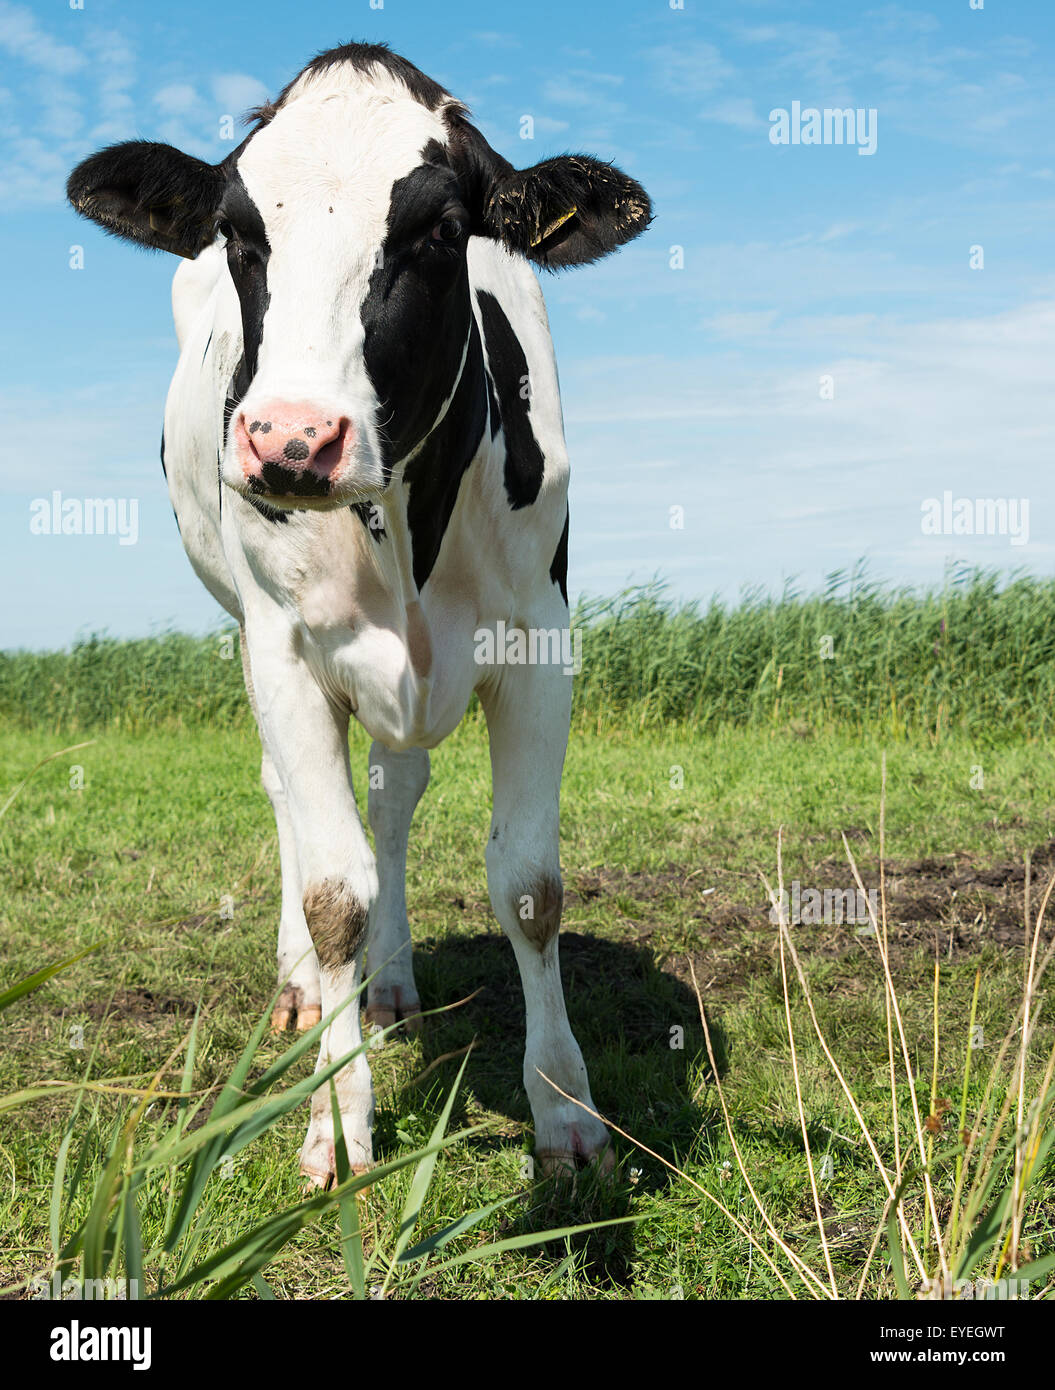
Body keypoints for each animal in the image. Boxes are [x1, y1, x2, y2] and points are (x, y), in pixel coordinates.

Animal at [67, 41, 651, 1183]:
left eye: (439, 230)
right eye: (240, 233)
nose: (291, 440)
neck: (403, 521)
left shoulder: (539, 644)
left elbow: (529, 883)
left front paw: (564, 1111)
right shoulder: (285, 651)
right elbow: (334, 890)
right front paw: (337, 1119)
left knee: (391, 800)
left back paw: (388, 986)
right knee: (295, 809)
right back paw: (306, 989)